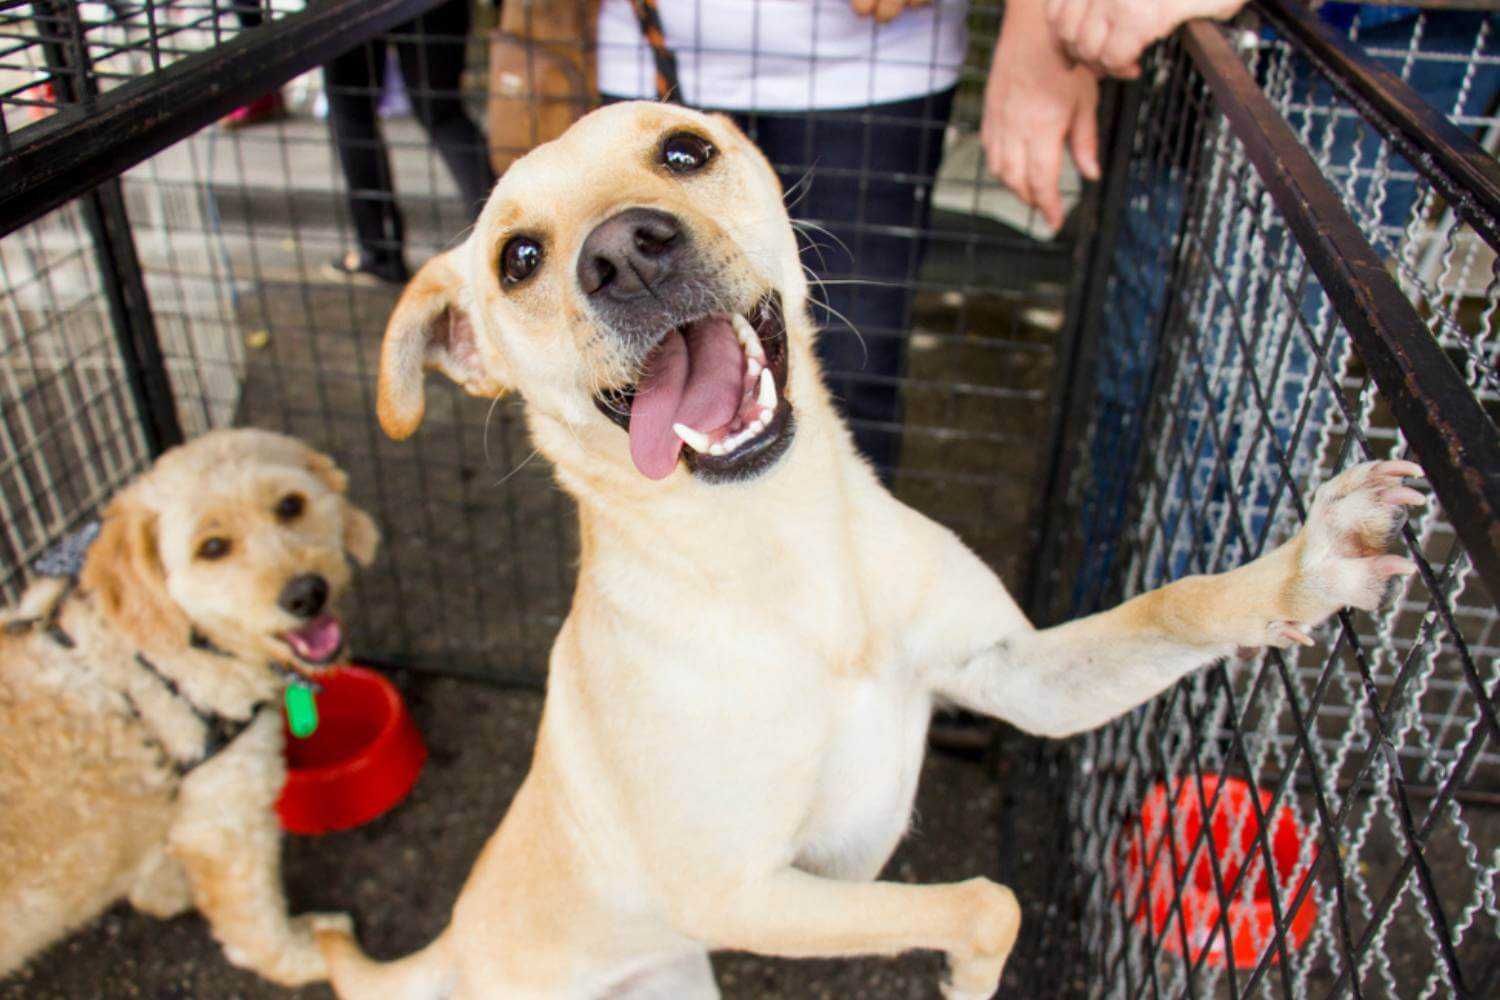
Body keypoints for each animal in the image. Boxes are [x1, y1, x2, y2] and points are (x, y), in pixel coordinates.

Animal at [1, 428, 375, 983]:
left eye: (290, 504)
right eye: (212, 547)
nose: (306, 593)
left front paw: (162, 887)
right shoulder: (226, 824)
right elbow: (256, 927)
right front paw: (308, 955)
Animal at [313, 103, 1416, 1000]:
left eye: (685, 151)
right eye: (518, 260)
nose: (625, 251)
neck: (787, 555)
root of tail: (454, 943)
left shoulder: (1016, 675)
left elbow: (1174, 604)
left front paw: (1307, 567)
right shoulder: (750, 890)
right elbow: (986, 900)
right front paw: (972, 978)